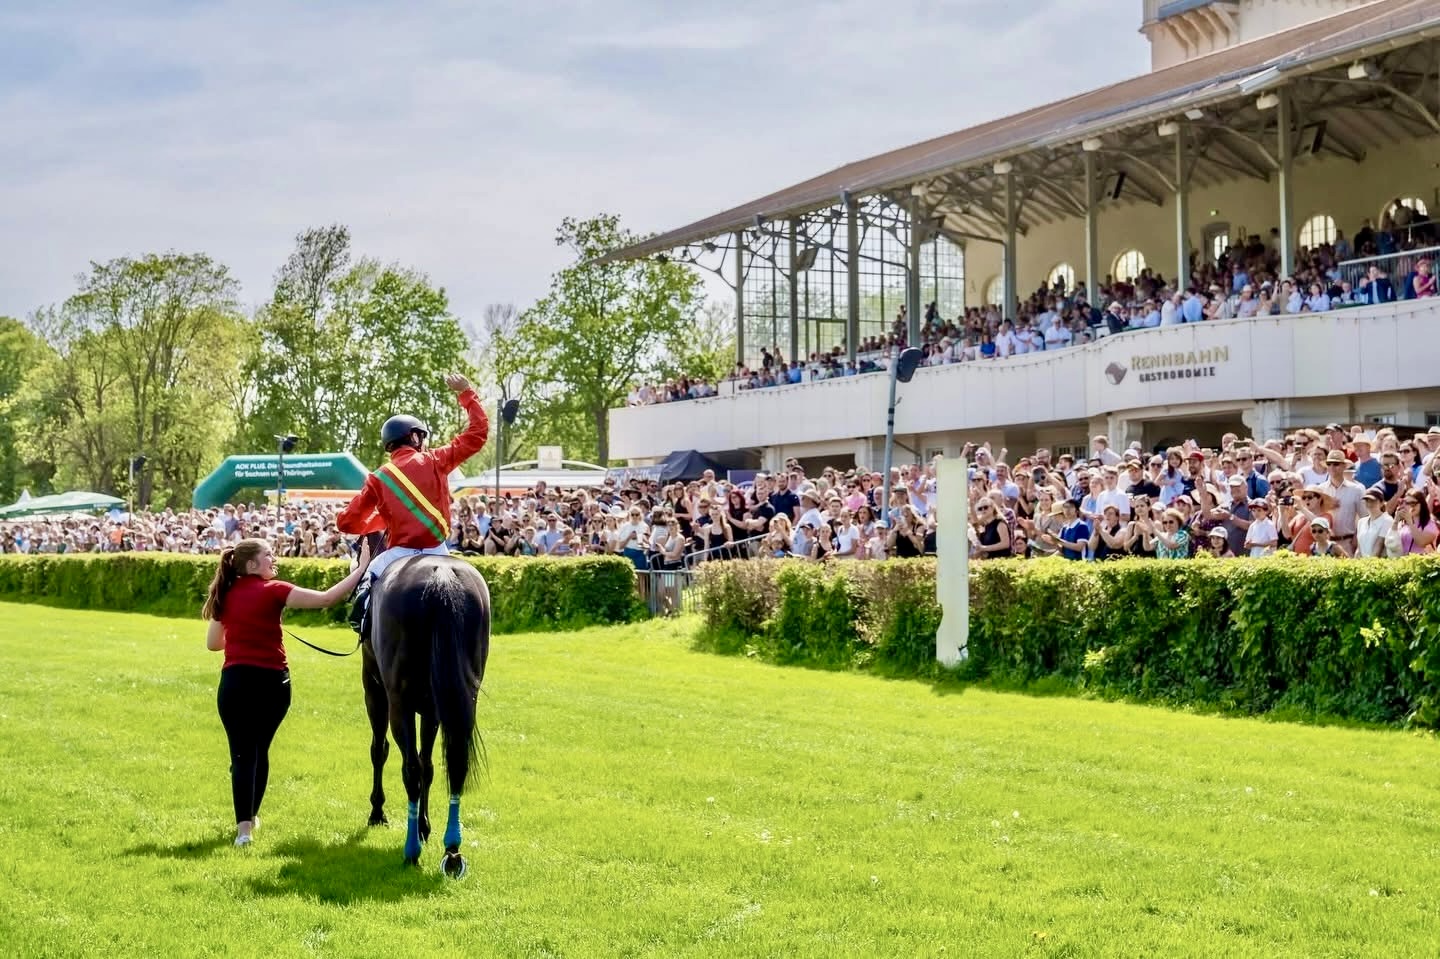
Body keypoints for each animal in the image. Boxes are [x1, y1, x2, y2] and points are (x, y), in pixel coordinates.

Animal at [358, 533, 490, 878]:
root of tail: (441, 576)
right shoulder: (433, 706)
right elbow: (429, 763)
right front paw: (425, 826)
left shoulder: (374, 687)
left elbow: (380, 750)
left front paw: (377, 811)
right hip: (461, 697)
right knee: (455, 762)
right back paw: (452, 849)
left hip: (398, 701)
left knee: (410, 769)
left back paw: (411, 851)